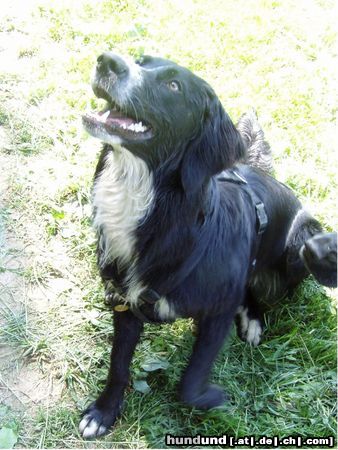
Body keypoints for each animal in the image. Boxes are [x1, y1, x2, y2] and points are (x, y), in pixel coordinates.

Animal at [78, 51, 336, 436]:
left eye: (174, 85)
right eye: (140, 59)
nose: (106, 60)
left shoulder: (219, 311)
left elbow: (189, 382)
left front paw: (213, 397)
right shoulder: (126, 301)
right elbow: (118, 363)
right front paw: (104, 411)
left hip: (302, 243)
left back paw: (255, 318)